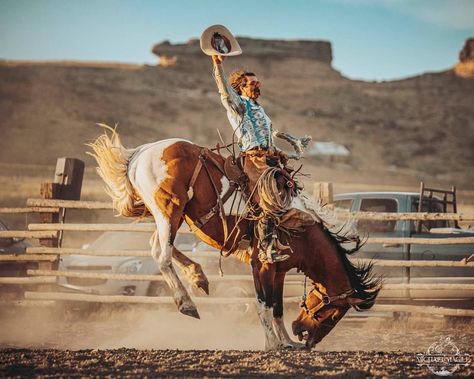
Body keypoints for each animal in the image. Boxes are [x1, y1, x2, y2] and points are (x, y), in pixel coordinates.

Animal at [87, 129, 380, 352]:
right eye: (335, 312)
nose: (308, 340)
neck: (302, 231)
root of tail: (142, 152)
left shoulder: (280, 270)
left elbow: (277, 307)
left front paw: (286, 342)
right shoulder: (261, 265)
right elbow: (263, 304)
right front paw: (272, 344)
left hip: (174, 216)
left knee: (157, 246)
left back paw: (198, 276)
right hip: (169, 209)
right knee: (162, 255)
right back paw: (187, 303)